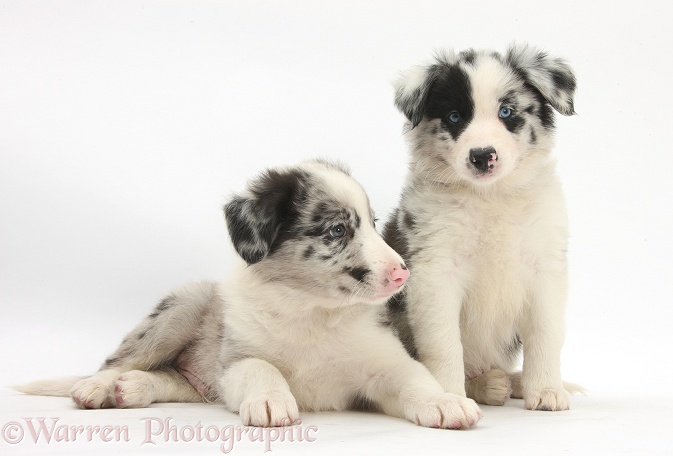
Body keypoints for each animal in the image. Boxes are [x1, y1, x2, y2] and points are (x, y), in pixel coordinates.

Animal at [19, 161, 484, 432]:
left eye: (373, 223)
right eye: (338, 230)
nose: (402, 271)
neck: (312, 313)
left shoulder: (381, 367)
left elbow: (415, 379)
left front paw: (447, 402)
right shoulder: (235, 361)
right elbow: (263, 367)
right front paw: (271, 401)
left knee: (174, 380)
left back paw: (132, 388)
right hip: (181, 307)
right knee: (118, 359)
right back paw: (100, 386)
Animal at [386, 44, 580, 412]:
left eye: (507, 112)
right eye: (454, 117)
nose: (482, 155)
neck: (490, 197)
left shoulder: (545, 266)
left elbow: (545, 333)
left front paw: (546, 389)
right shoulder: (435, 271)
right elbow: (444, 342)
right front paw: (448, 396)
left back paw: (513, 381)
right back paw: (489, 384)